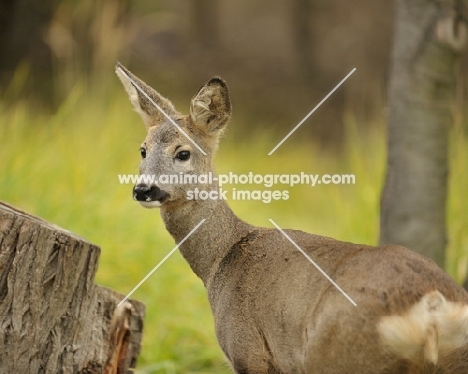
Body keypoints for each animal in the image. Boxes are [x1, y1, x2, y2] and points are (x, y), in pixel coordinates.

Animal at [116, 62, 468, 372]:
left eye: (183, 153)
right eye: (143, 150)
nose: (143, 190)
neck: (221, 260)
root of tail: (433, 310)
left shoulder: (249, 351)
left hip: (339, 353)